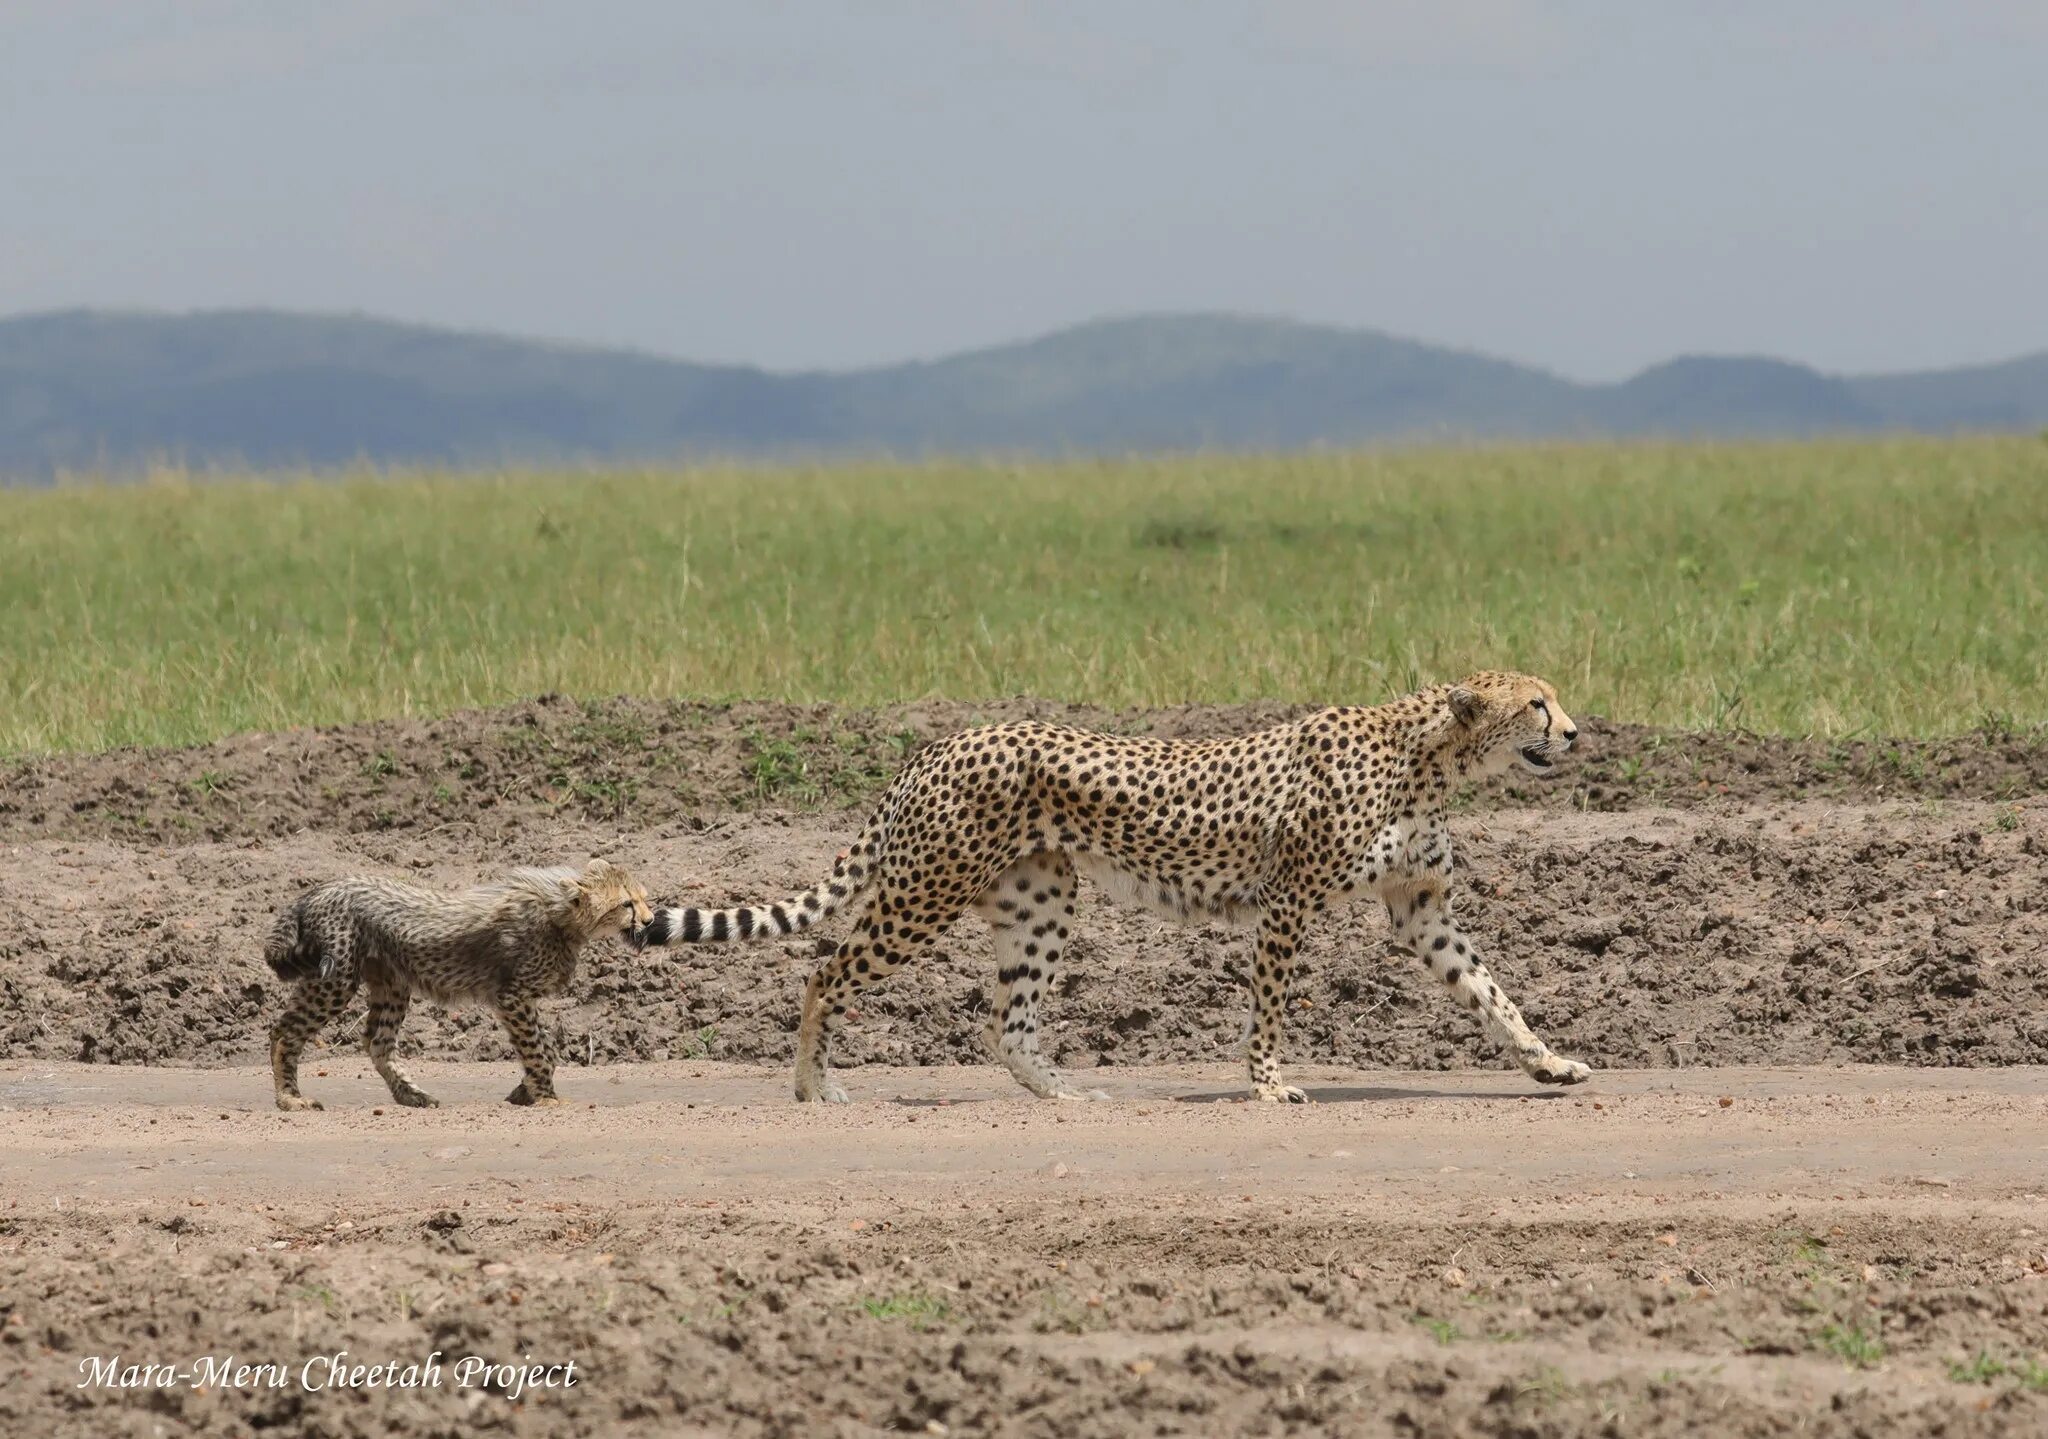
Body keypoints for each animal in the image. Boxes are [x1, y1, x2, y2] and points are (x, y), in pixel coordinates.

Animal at [630, 675, 1589, 1105]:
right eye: (1536, 703)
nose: (1577, 732)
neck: (1431, 760)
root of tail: (937, 743)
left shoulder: (1421, 909)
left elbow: (1492, 991)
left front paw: (1547, 1060)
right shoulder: (1286, 903)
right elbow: (1271, 1007)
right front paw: (1267, 1084)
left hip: (1039, 902)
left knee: (1004, 1021)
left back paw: (1064, 1094)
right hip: (924, 892)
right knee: (825, 972)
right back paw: (811, 1086)